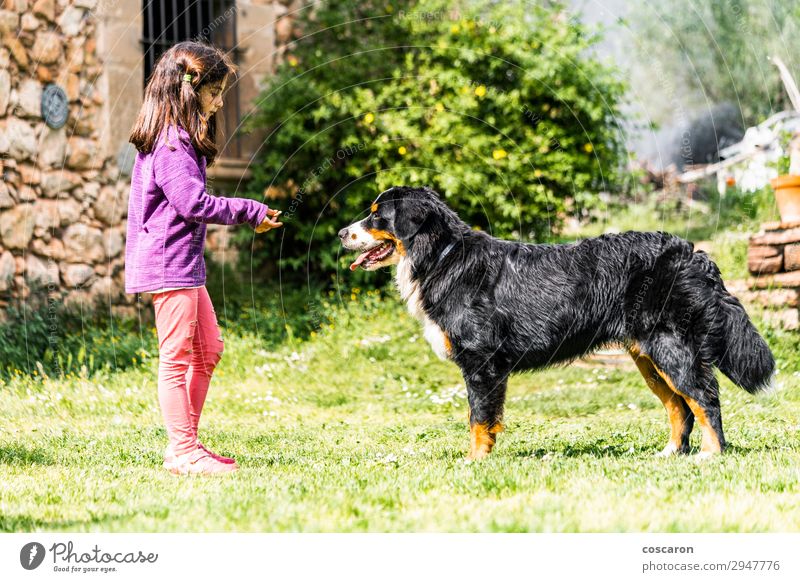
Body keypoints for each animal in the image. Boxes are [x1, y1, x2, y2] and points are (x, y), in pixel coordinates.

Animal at [338, 187, 776, 460]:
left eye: (376, 216)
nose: (342, 232)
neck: (443, 257)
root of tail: (691, 252)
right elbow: (483, 419)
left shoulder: (481, 363)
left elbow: (479, 419)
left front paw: (474, 460)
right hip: (649, 356)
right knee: (679, 406)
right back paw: (671, 453)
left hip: (671, 347)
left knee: (705, 398)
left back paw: (711, 454)